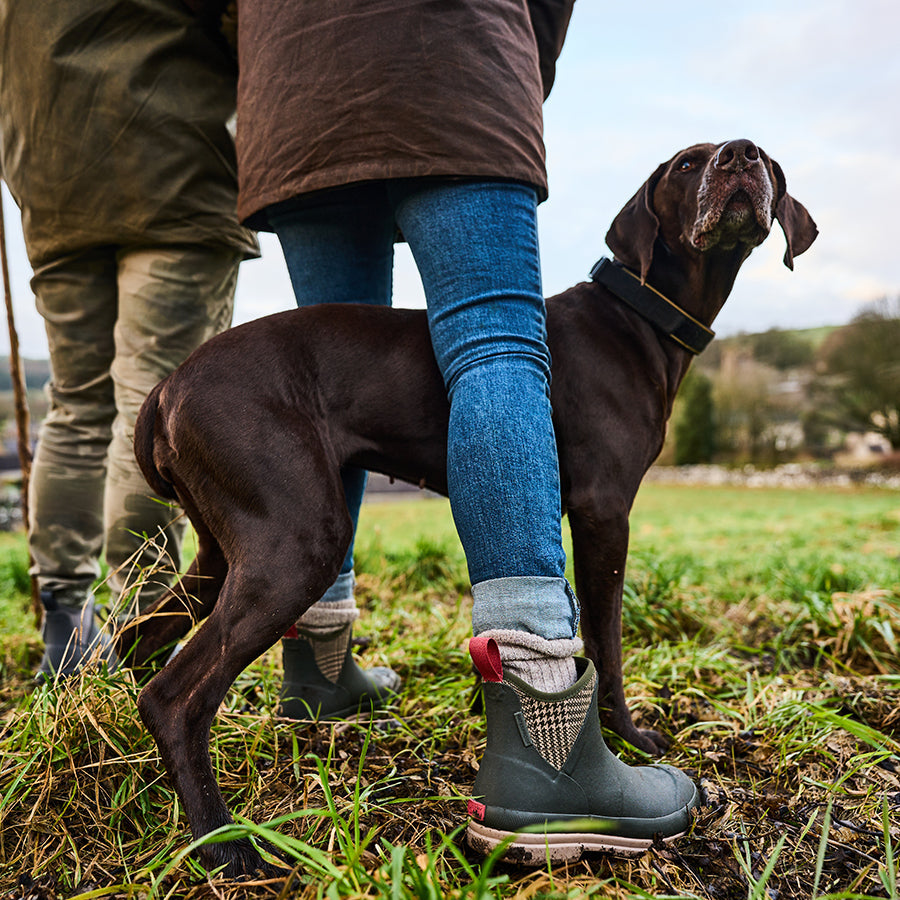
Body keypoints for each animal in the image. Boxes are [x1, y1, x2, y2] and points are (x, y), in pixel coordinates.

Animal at [123, 139, 820, 872]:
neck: (637, 316)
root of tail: (167, 388)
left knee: (139, 636)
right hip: (294, 544)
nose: (739, 157)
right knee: (174, 698)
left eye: (765, 162)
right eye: (687, 165)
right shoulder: (604, 513)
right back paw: (222, 843)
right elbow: (608, 642)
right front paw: (629, 739)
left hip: (226, 550)